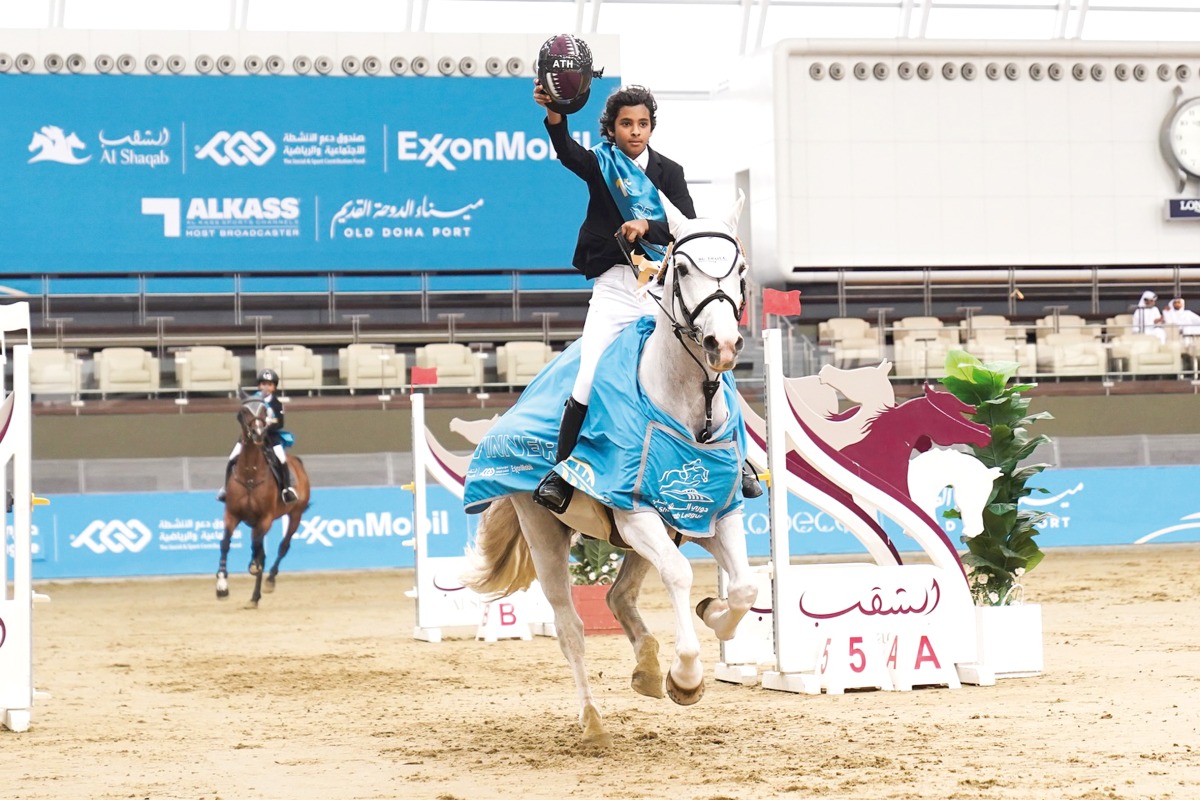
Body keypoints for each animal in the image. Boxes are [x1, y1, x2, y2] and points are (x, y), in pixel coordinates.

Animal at [216, 398, 312, 609]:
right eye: (244, 411)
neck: (250, 474)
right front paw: (222, 586)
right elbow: (225, 543)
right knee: (262, 551)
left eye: (263, 411)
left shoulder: (265, 518)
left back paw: (269, 581)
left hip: (295, 514)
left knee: (283, 546)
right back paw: (254, 597)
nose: (258, 433)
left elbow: (259, 550)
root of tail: (297, 462)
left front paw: (254, 567)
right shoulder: (231, 514)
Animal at [458, 195, 748, 753]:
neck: (689, 407)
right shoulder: (636, 513)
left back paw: (647, 669)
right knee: (570, 627)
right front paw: (687, 676)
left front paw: (712, 615)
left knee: (617, 595)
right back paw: (594, 720)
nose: (722, 345)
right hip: (547, 533)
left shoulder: (716, 512)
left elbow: (744, 588)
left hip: (652, 535)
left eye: (740, 270)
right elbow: (680, 577)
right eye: (682, 269)